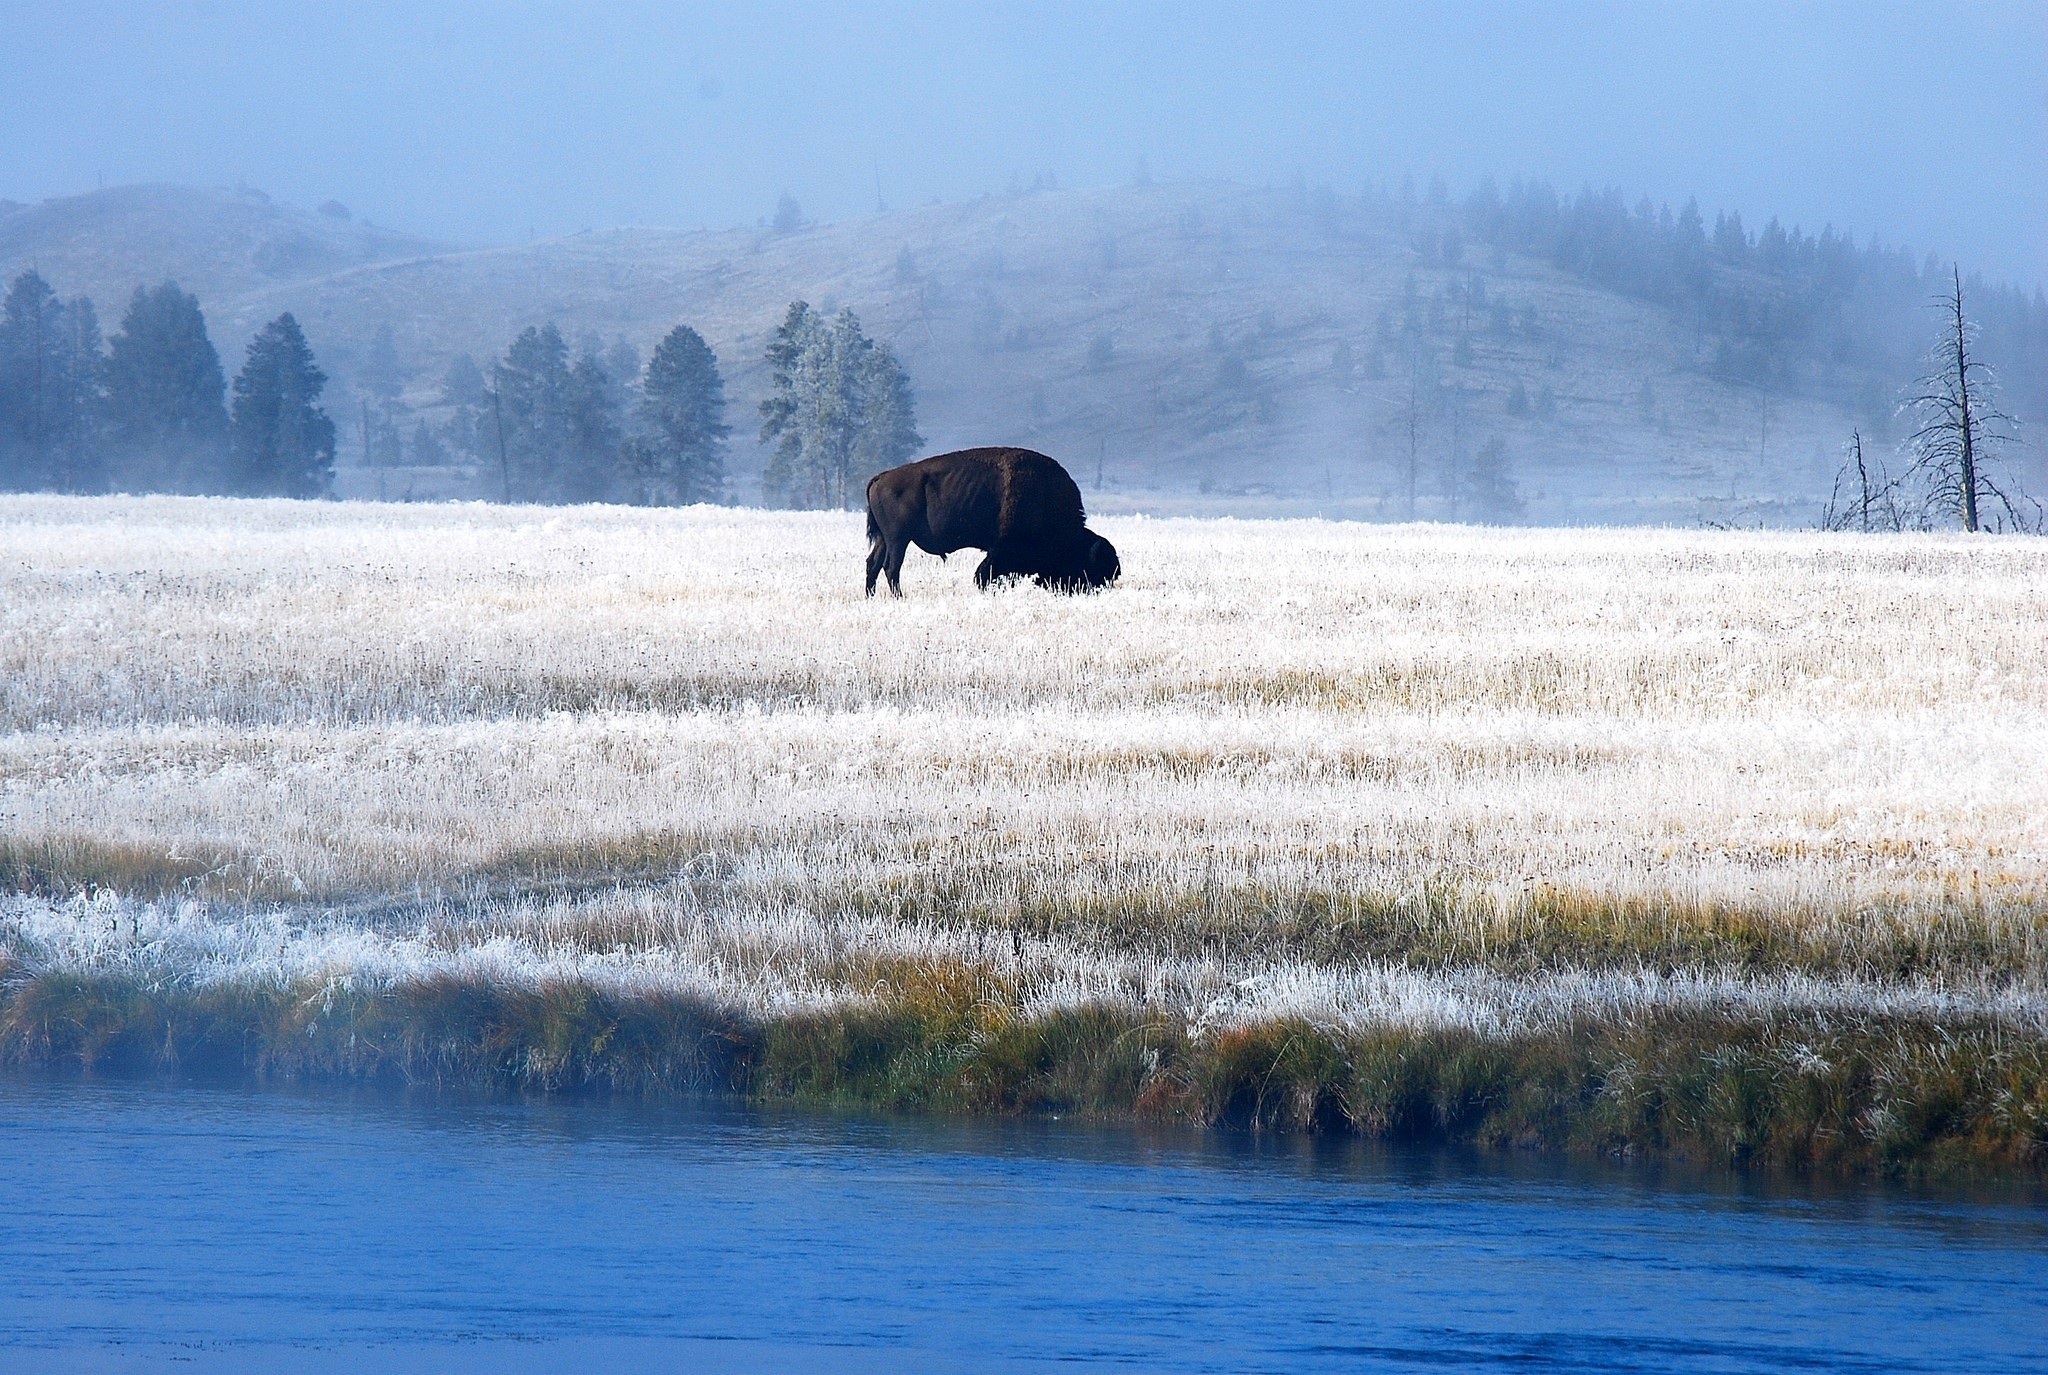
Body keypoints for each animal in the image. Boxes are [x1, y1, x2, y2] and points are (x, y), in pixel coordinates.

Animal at [864, 447, 1120, 596]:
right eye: (1091, 566)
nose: (1097, 589)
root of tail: (881, 477)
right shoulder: (1001, 551)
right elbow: (985, 574)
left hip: (886, 539)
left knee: (873, 564)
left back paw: (871, 596)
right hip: (899, 539)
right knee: (891, 567)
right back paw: (899, 597)